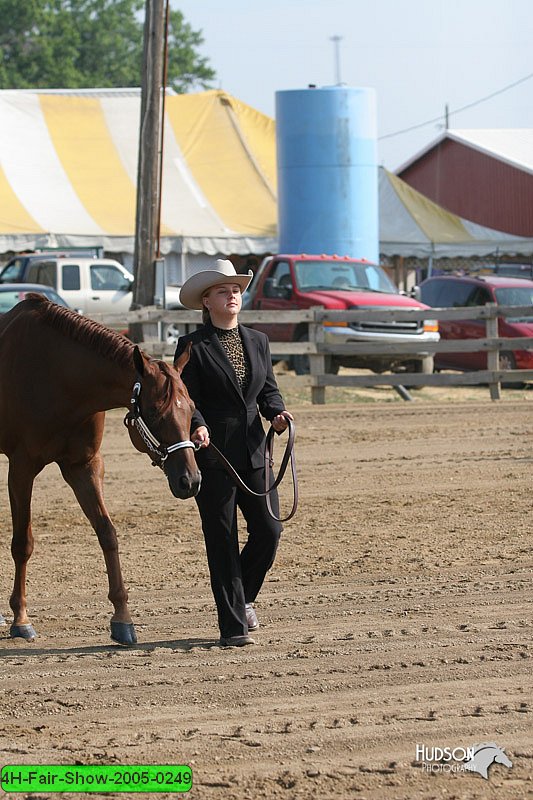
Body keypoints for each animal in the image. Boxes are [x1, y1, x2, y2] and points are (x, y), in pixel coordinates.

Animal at [0, 294, 200, 644]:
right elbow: (22, 543)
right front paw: (21, 618)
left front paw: (122, 618)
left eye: (190, 408)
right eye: (153, 411)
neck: (58, 375)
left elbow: (107, 533)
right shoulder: (22, 468)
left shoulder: (84, 466)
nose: (190, 480)